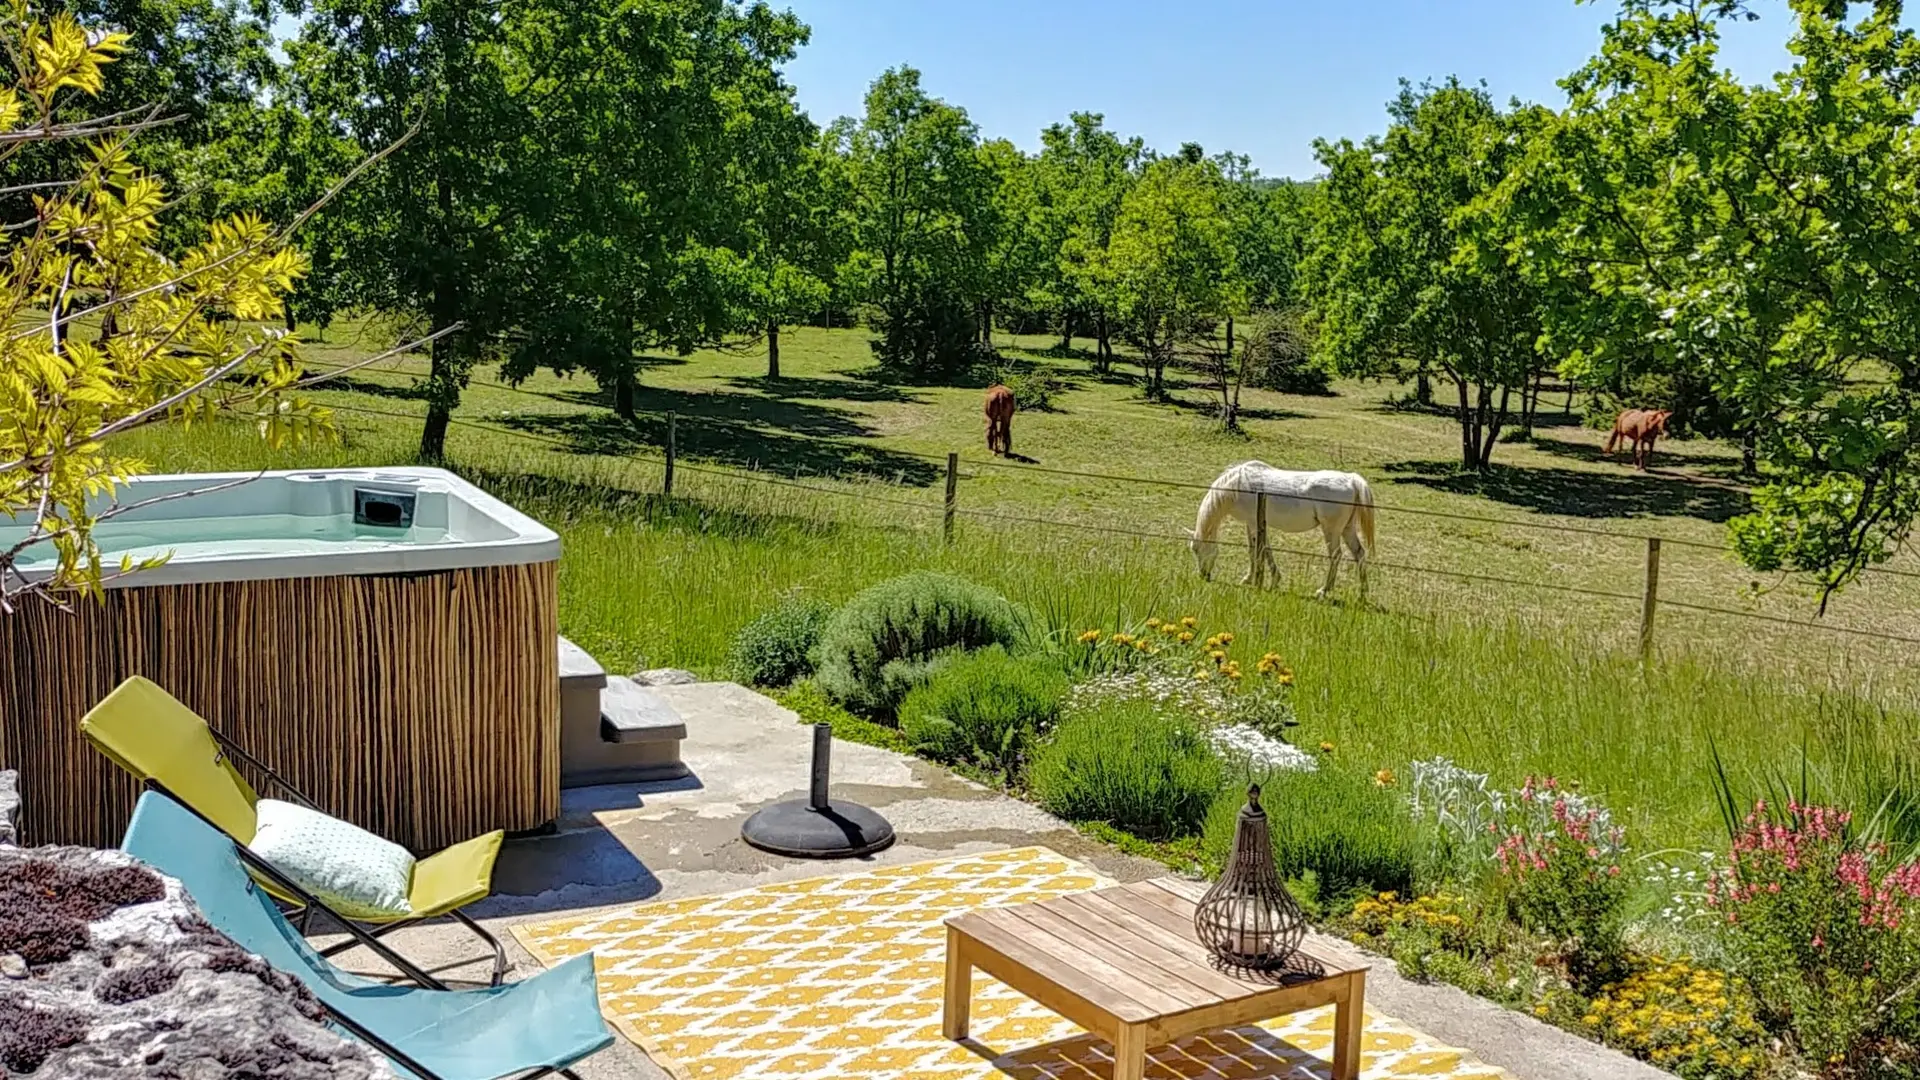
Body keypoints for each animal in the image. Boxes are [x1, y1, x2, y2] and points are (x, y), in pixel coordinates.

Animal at [1190, 457, 1374, 595]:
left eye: (1196, 550)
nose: (1203, 575)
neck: (1238, 486)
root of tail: (1352, 480)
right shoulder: (1252, 524)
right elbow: (1255, 550)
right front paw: (1252, 579)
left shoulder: (1254, 524)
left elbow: (1260, 550)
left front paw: (1266, 580)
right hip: (1347, 529)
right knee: (1359, 553)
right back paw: (1363, 593)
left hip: (1331, 530)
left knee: (1335, 556)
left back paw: (1323, 591)